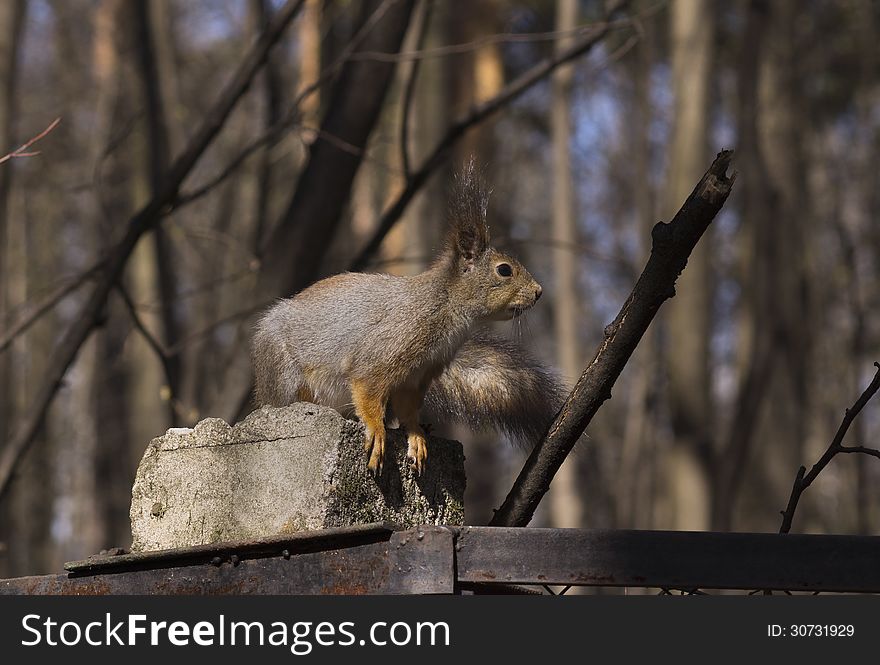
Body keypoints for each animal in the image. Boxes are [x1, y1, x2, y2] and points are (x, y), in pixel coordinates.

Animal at [251, 163, 564, 474]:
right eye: (504, 270)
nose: (539, 292)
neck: (446, 306)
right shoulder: (388, 347)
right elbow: (366, 386)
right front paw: (376, 430)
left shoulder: (416, 376)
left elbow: (408, 409)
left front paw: (416, 435)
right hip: (281, 370)